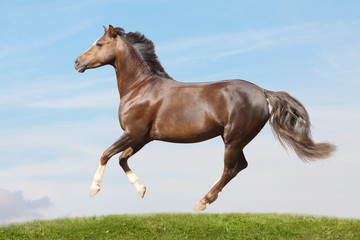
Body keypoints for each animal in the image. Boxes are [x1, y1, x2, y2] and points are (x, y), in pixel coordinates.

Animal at [74, 24, 336, 212]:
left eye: (99, 43)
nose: (77, 62)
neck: (139, 88)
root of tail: (262, 92)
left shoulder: (133, 132)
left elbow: (106, 154)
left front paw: (93, 190)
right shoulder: (143, 137)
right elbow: (122, 159)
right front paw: (142, 190)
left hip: (233, 139)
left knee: (231, 168)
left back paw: (202, 202)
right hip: (233, 139)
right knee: (238, 167)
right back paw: (208, 196)